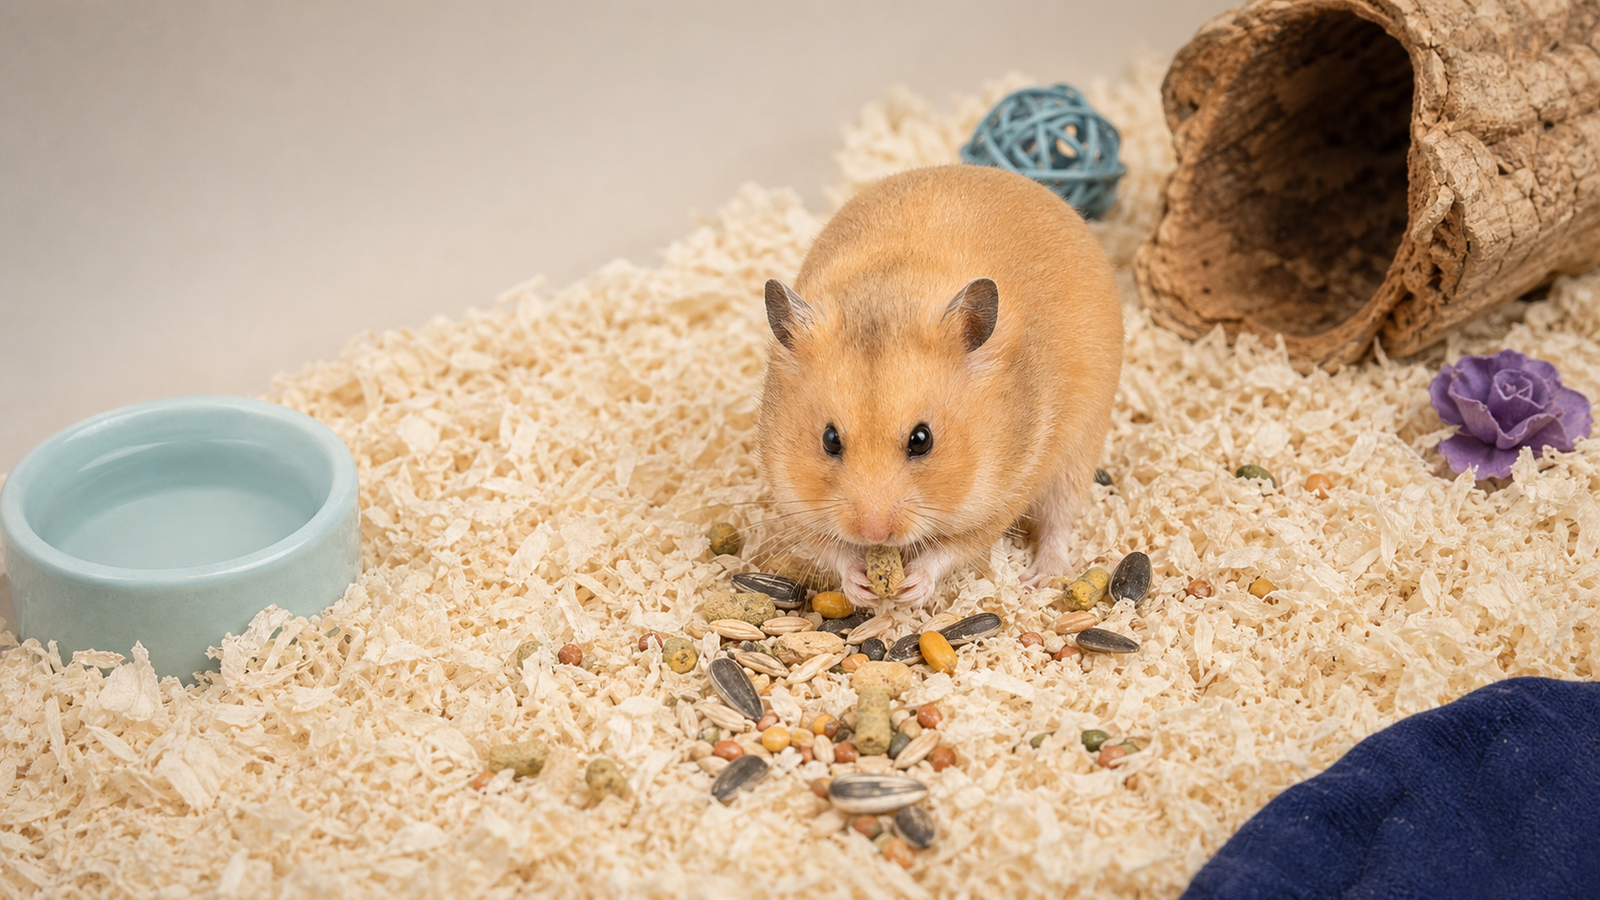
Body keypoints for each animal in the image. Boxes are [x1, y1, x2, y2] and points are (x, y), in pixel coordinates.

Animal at [756, 164, 1122, 608]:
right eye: (829, 440)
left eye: (922, 440)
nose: (874, 533)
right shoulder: (796, 503)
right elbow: (832, 548)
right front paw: (862, 588)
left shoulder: (1004, 494)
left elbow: (952, 548)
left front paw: (911, 586)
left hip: (1078, 453)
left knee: (1058, 522)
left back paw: (1040, 579)